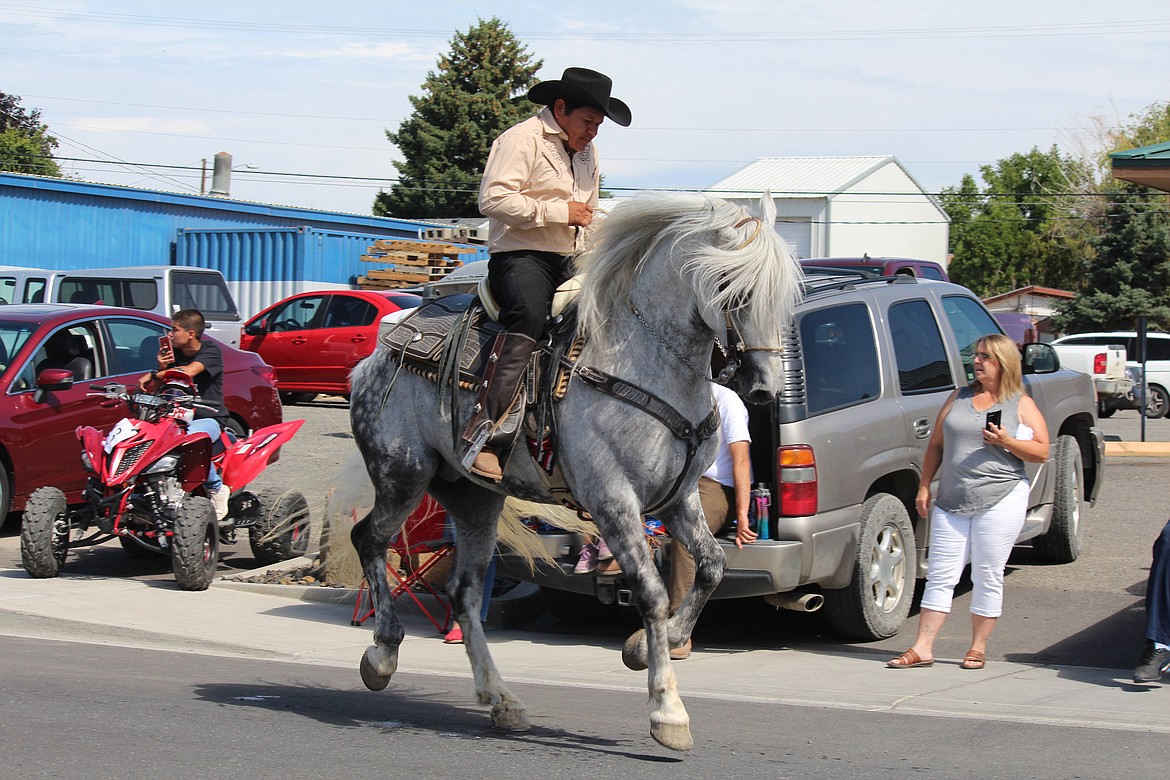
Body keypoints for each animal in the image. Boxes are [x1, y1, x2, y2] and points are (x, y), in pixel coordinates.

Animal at [351, 190, 800, 748]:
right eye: (730, 288)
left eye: (781, 294)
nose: (763, 388)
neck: (645, 362)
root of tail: (381, 350)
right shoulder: (613, 500)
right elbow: (651, 591)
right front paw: (667, 710)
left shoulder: (678, 498)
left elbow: (714, 566)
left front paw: (643, 647)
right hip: (403, 474)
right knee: (369, 539)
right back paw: (383, 655)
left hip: (474, 500)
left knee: (464, 592)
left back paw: (501, 700)